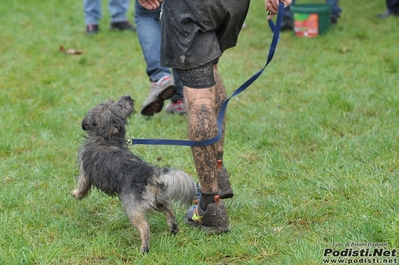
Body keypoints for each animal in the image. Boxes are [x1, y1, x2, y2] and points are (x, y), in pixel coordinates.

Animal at [72, 94, 198, 252]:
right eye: (116, 104)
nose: (127, 96)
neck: (106, 137)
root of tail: (150, 173)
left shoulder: (84, 172)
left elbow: (82, 186)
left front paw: (76, 194)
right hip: (158, 199)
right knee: (169, 209)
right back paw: (173, 228)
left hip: (132, 209)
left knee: (145, 227)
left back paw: (144, 249)